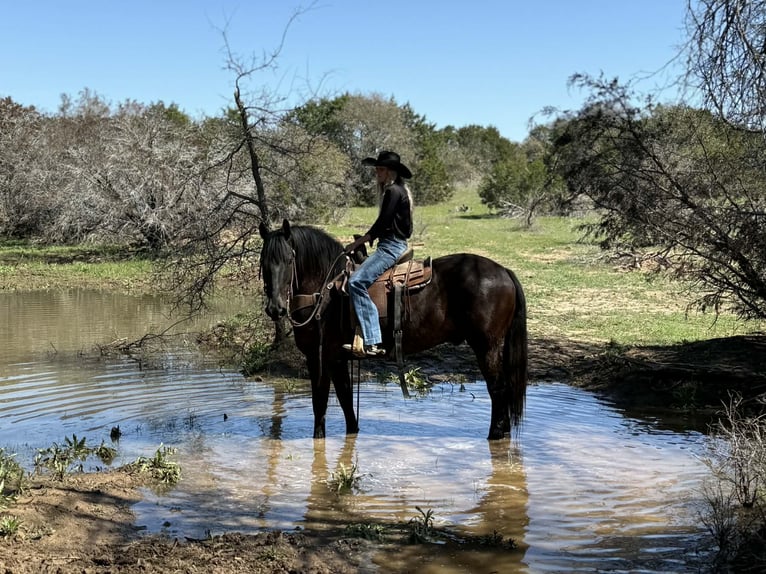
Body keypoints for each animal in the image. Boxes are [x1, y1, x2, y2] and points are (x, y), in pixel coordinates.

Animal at [258, 219, 528, 440]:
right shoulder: (337, 359)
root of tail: (504, 272)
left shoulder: (320, 356)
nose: (275, 308)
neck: (325, 291)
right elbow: (346, 400)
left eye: (289, 260)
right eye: (263, 262)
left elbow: (320, 403)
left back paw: (495, 436)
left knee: (497, 389)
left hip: (486, 346)